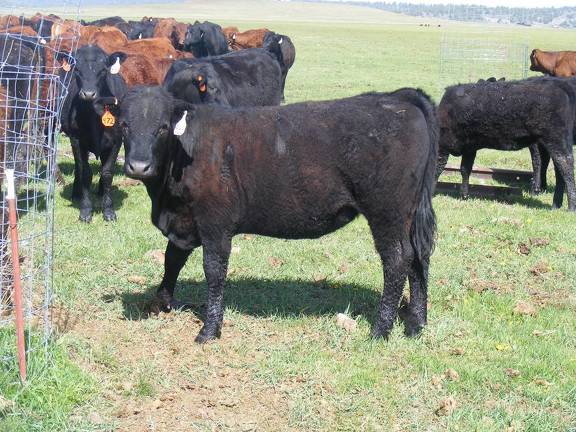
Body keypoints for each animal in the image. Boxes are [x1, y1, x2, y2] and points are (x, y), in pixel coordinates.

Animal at [59, 44, 127, 223]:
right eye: (76, 69)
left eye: (103, 70)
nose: (89, 94)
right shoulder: (76, 139)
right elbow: (85, 172)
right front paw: (85, 210)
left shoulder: (117, 140)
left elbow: (107, 172)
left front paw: (108, 210)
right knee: (78, 166)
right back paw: (77, 193)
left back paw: (102, 192)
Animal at [116, 86, 436, 344]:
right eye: (124, 125)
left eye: (162, 127)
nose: (139, 166)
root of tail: (396, 97)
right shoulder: (184, 221)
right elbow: (172, 259)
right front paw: (160, 303)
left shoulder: (215, 223)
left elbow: (214, 271)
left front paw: (209, 329)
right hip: (410, 214)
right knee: (418, 258)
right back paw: (416, 324)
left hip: (388, 212)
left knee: (397, 260)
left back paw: (381, 330)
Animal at [436, 79, 576, 213]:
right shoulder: (470, 147)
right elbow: (465, 169)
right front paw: (464, 195)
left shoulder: (445, 148)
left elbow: (439, 168)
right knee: (559, 170)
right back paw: (556, 205)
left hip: (555, 139)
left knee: (566, 166)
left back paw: (571, 208)